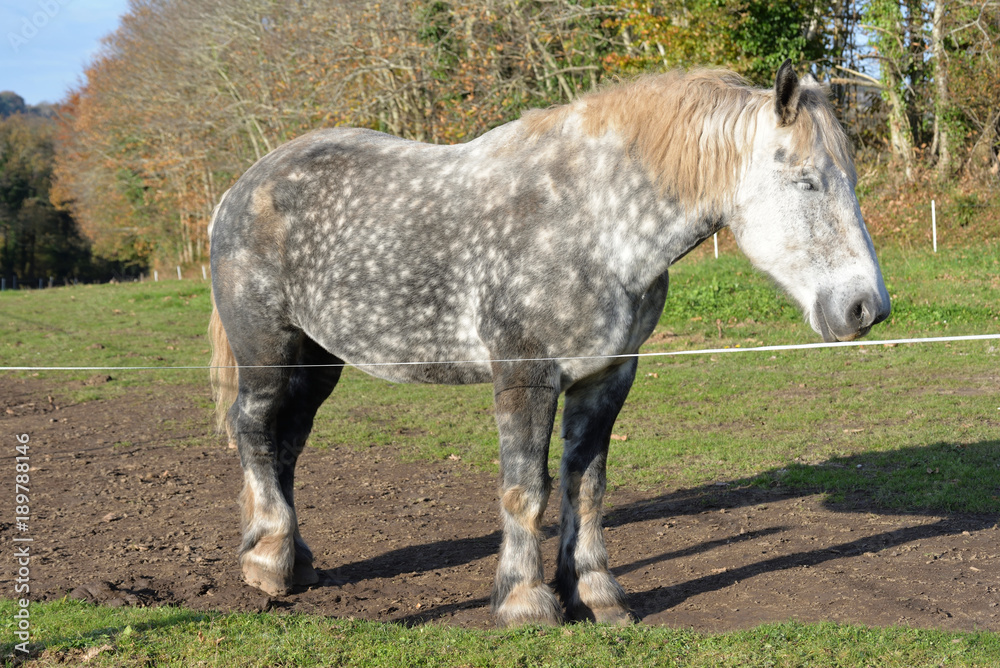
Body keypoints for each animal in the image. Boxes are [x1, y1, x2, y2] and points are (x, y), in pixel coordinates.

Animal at [208, 61, 890, 627]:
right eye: (806, 182)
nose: (867, 307)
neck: (594, 224)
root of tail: (241, 189)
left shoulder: (606, 378)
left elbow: (584, 489)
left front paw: (595, 595)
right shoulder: (526, 375)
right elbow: (525, 489)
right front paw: (524, 602)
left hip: (319, 360)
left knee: (289, 441)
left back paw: (296, 560)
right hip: (267, 350)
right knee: (254, 429)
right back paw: (267, 564)